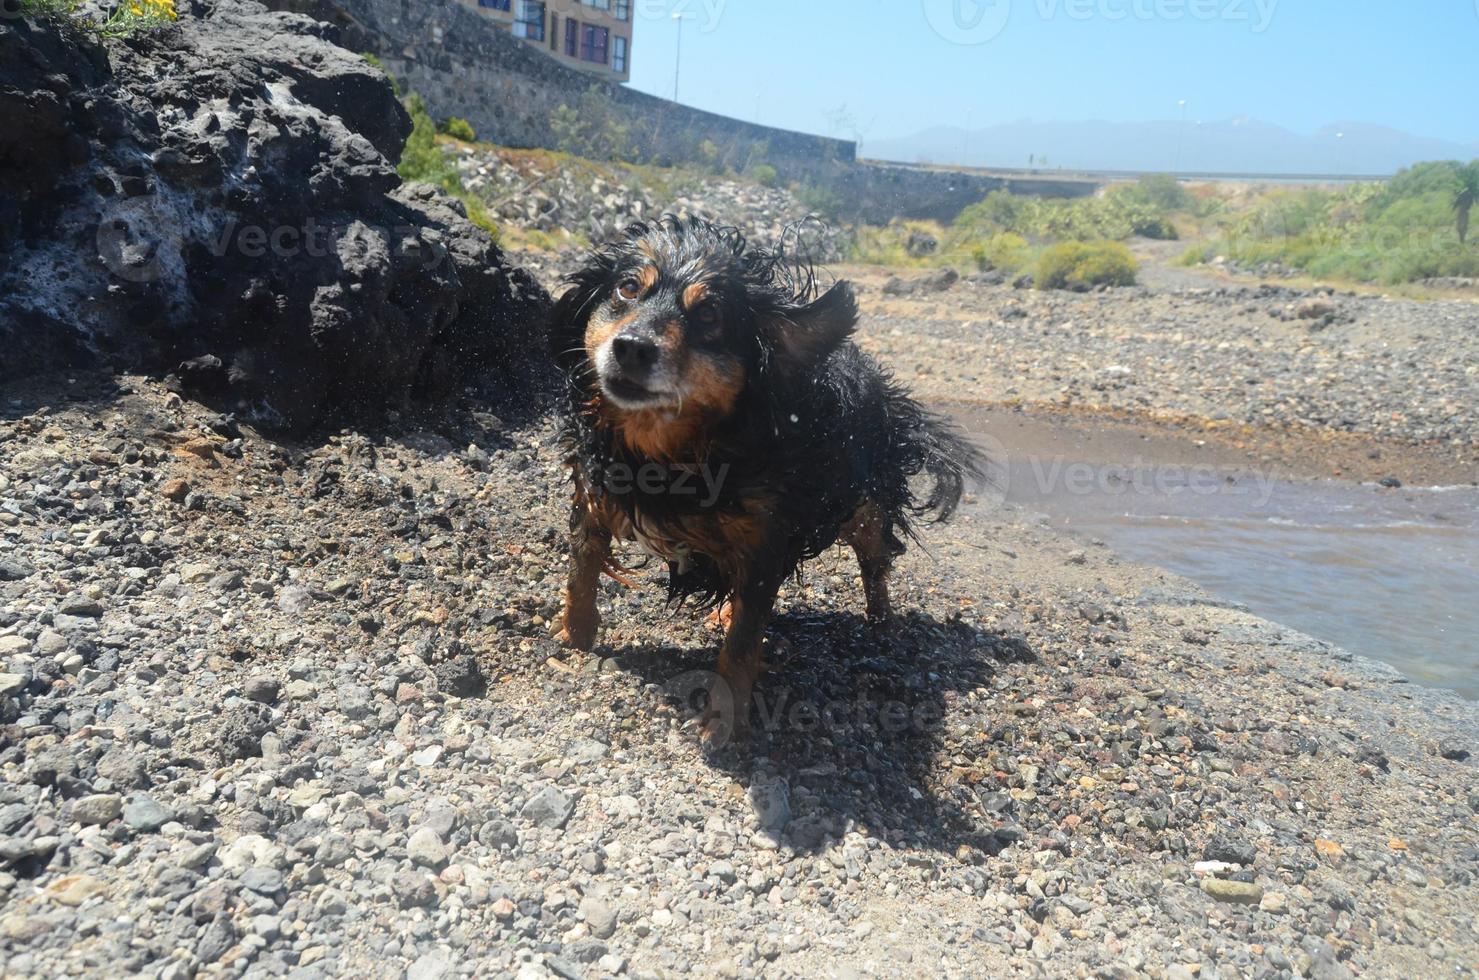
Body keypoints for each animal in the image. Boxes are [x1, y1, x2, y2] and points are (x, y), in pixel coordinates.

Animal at [544, 217, 982, 736]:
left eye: (709, 314)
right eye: (628, 288)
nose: (631, 348)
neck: (667, 454)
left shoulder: (765, 541)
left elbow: (743, 640)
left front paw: (724, 715)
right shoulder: (592, 490)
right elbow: (582, 567)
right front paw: (575, 632)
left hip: (866, 508)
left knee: (876, 562)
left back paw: (880, 620)